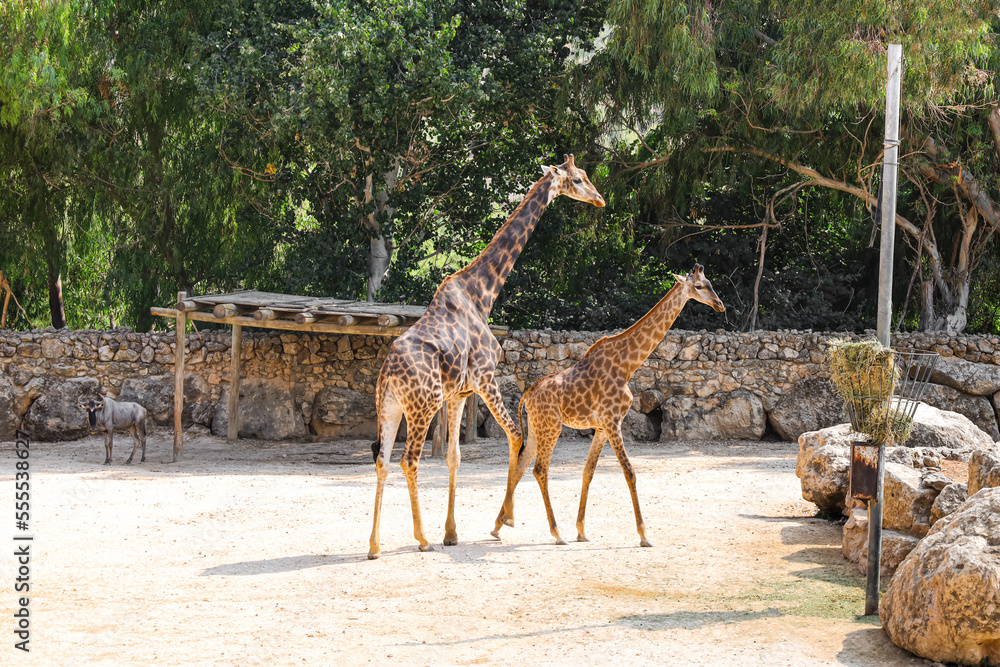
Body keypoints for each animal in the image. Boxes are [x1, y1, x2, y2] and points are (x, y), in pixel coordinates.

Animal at [368, 155, 600, 560]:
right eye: (577, 179)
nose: (600, 199)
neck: (482, 293)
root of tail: (388, 375)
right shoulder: (486, 378)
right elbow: (516, 436)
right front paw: (504, 520)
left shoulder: (459, 393)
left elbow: (455, 457)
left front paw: (452, 533)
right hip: (421, 406)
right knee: (408, 460)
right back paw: (422, 539)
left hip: (391, 407)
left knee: (382, 460)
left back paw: (375, 546)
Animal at [494, 264, 724, 548]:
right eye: (699, 286)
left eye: (711, 282)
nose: (720, 304)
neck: (627, 364)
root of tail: (528, 393)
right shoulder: (613, 421)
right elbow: (630, 472)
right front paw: (644, 535)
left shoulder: (602, 427)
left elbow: (588, 472)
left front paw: (581, 530)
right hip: (551, 427)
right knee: (539, 470)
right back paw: (556, 533)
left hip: (538, 428)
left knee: (521, 465)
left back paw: (500, 524)